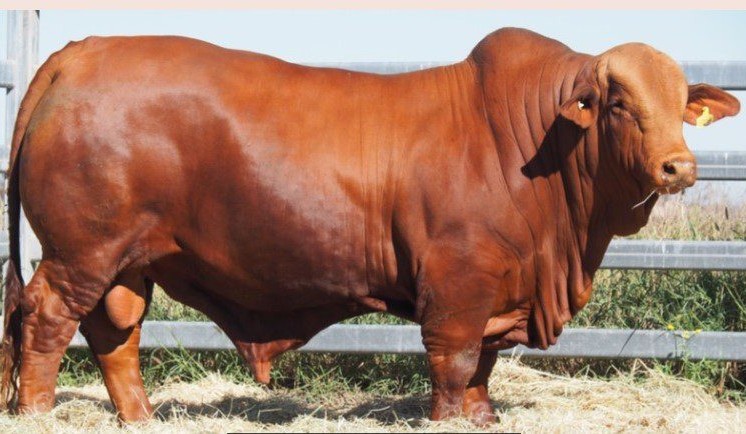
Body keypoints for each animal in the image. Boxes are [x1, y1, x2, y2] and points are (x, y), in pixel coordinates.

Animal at [0, 27, 739, 425]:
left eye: (682, 102)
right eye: (618, 103)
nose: (678, 166)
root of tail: (81, 52)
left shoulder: (499, 288)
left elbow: (484, 368)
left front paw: (482, 418)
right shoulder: (457, 284)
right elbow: (455, 362)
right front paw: (449, 420)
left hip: (128, 262)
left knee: (114, 335)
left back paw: (143, 419)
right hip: (79, 253)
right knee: (44, 322)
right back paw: (37, 414)